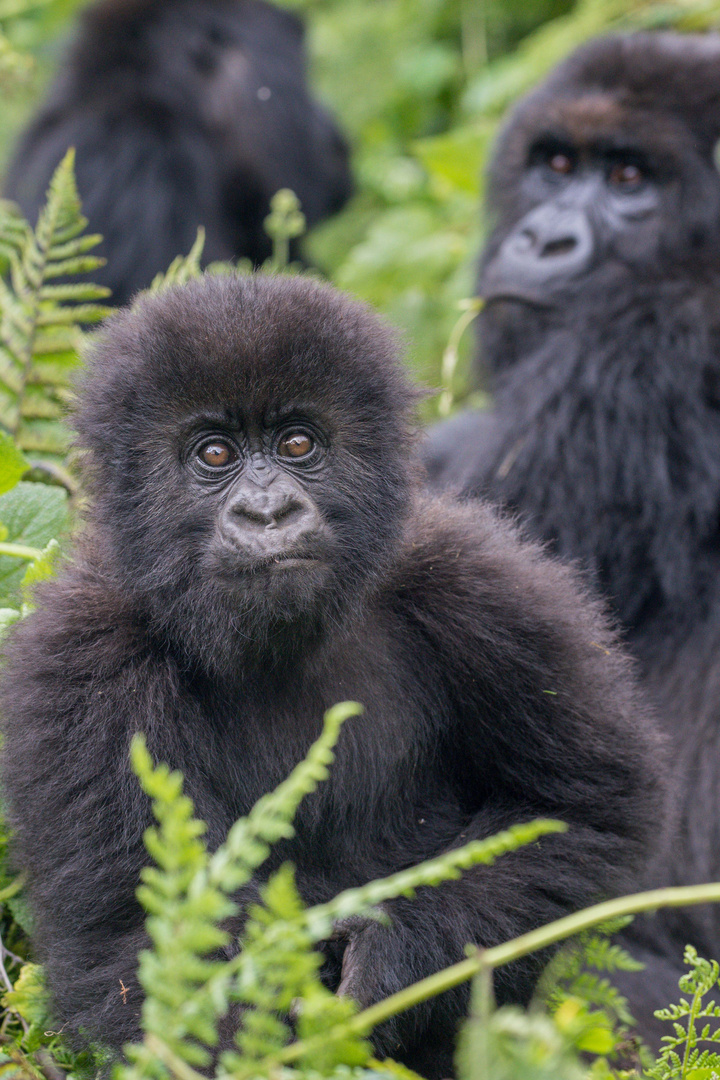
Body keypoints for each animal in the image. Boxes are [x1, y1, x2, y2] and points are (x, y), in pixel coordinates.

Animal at [0, 274, 664, 1075]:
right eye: (214, 453)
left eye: (297, 443)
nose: (269, 511)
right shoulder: (79, 660)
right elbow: (134, 939)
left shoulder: (481, 584)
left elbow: (582, 810)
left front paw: (399, 955)